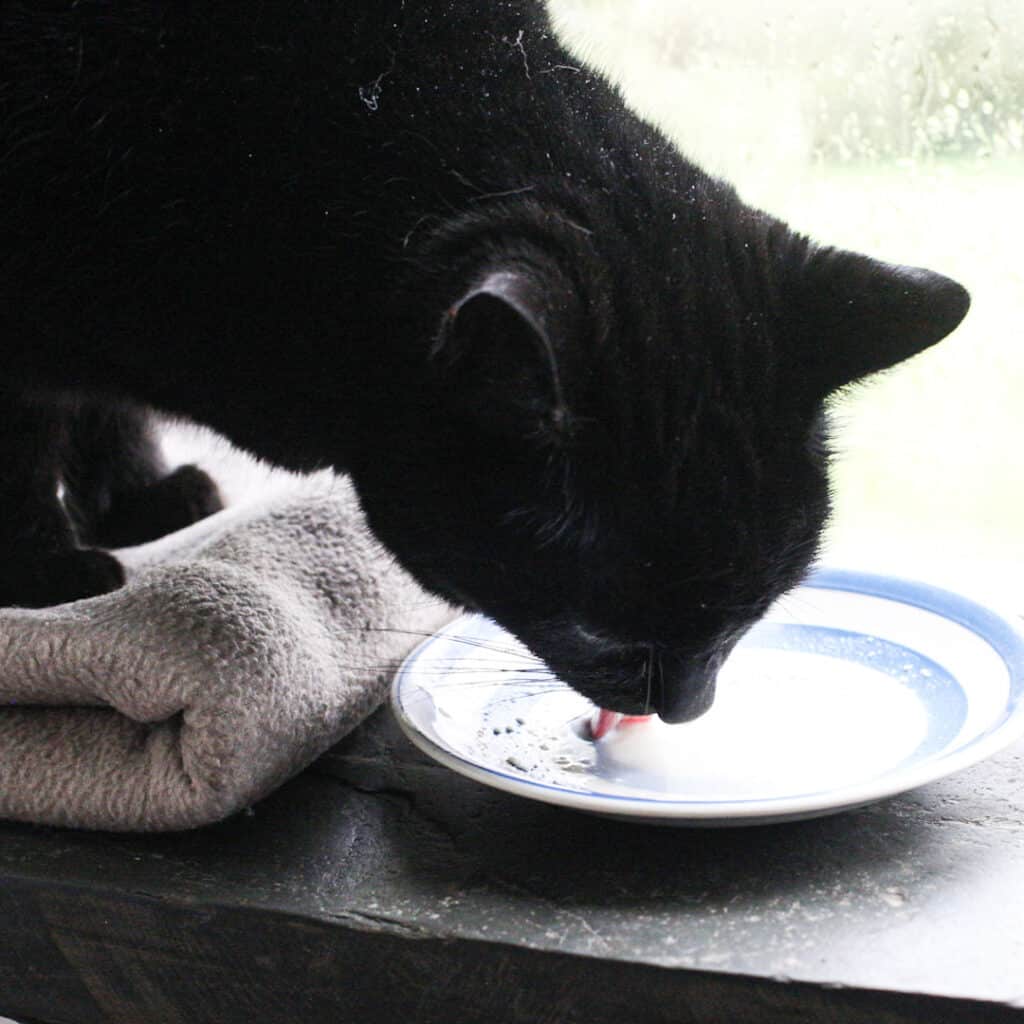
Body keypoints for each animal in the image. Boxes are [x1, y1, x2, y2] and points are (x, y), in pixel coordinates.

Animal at [0, 2, 966, 720]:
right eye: (601, 635)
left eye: (756, 612)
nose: (691, 710)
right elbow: (32, 431)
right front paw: (44, 568)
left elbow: (101, 406)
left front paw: (136, 502)